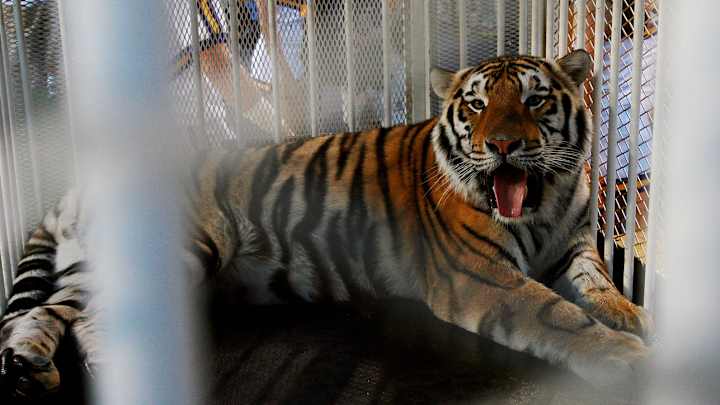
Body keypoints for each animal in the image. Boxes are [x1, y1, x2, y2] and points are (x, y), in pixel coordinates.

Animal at [0, 50, 652, 399]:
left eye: (536, 101)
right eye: (476, 105)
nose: (503, 146)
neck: (542, 204)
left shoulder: (572, 246)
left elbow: (600, 286)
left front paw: (636, 317)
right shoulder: (480, 278)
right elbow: (557, 314)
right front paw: (629, 357)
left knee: (51, 311)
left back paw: (40, 365)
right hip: (182, 248)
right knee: (78, 314)